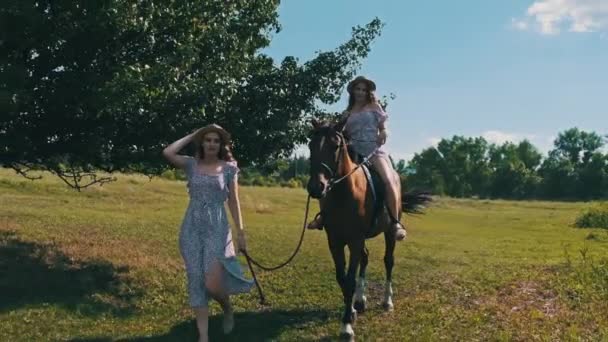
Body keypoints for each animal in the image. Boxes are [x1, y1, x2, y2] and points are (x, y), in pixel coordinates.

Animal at [306, 119, 430, 338]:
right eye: (311, 145)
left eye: (335, 146)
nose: (316, 187)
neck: (344, 193)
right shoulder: (335, 241)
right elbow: (342, 279)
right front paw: (352, 311)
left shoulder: (355, 240)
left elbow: (350, 279)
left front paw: (346, 327)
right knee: (365, 258)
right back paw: (360, 300)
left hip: (388, 233)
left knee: (388, 261)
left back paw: (387, 301)